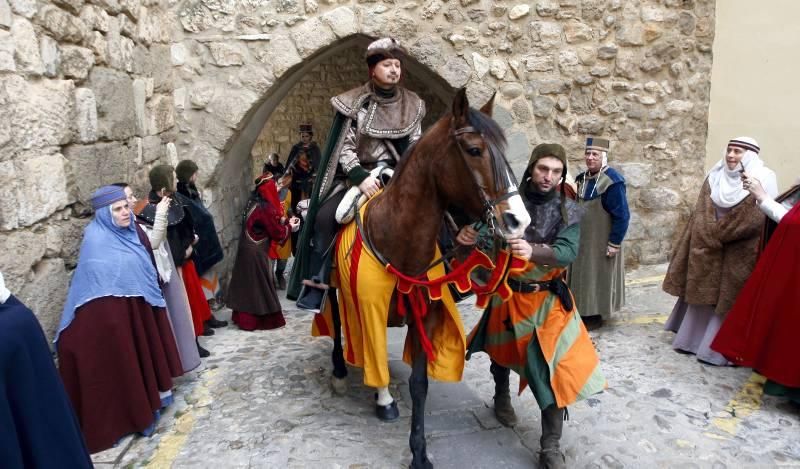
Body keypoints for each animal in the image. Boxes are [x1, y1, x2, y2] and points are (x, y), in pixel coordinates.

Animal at [318, 88, 532, 468]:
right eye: (474, 150)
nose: (518, 221)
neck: (397, 238)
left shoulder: (426, 312)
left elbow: (420, 384)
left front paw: (419, 451)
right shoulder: (369, 308)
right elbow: (374, 356)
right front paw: (384, 400)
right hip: (331, 288)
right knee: (339, 325)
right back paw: (341, 371)